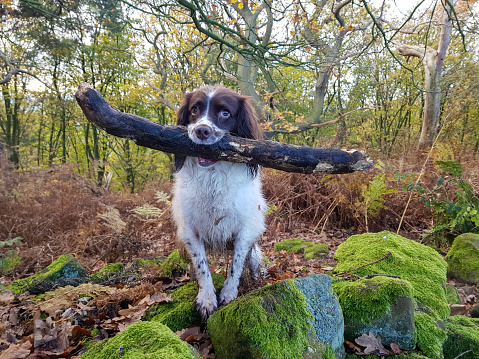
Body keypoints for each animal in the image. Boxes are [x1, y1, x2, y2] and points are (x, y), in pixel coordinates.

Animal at [172, 86, 268, 320]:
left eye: (225, 113)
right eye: (194, 110)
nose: (202, 131)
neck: (212, 176)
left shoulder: (245, 230)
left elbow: (236, 264)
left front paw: (229, 293)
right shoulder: (190, 231)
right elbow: (202, 266)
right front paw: (207, 298)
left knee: (253, 262)